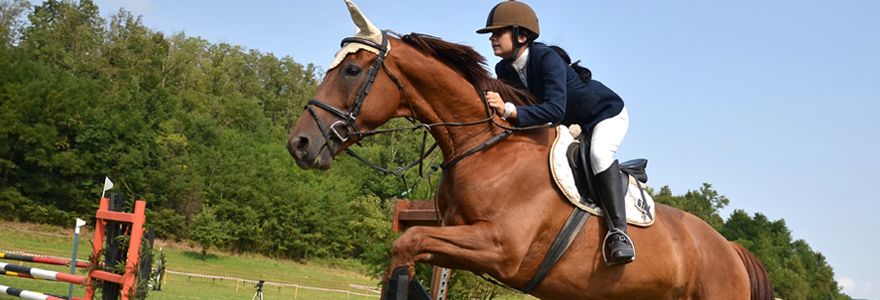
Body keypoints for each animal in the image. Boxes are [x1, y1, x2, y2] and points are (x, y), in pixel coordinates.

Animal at [288, 2, 768, 300]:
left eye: (352, 71)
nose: (299, 144)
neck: (483, 148)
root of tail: (732, 250)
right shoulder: (459, 239)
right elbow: (408, 248)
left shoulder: (500, 247)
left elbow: (409, 241)